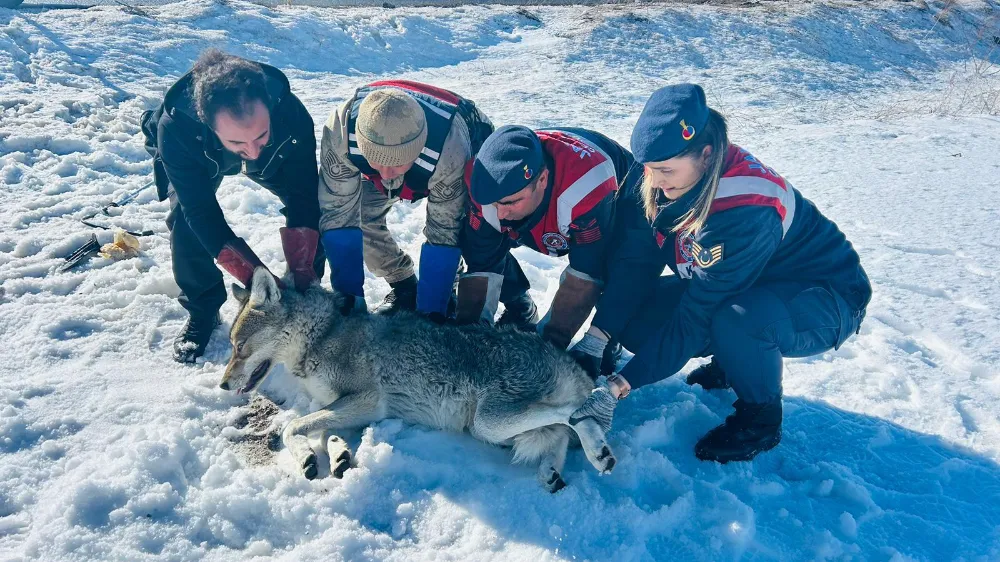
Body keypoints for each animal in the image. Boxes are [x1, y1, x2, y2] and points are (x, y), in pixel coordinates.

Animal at [219, 266, 616, 490]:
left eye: (240, 347)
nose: (223, 385)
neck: (323, 333)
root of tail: (568, 360)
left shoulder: (367, 401)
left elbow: (292, 427)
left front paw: (310, 457)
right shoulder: (346, 405)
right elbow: (322, 428)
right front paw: (338, 454)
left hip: (490, 421)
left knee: (577, 411)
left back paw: (598, 451)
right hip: (501, 432)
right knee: (561, 434)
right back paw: (556, 471)